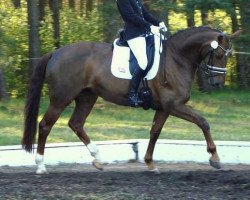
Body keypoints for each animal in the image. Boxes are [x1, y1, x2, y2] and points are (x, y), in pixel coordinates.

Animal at [21, 26, 240, 173]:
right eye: (219, 54)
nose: (218, 83)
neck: (177, 59)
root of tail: (56, 52)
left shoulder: (164, 108)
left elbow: (154, 132)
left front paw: (150, 163)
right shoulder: (174, 105)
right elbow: (203, 122)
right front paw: (215, 157)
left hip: (87, 97)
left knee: (76, 123)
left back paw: (98, 159)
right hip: (61, 97)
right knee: (45, 125)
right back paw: (41, 166)